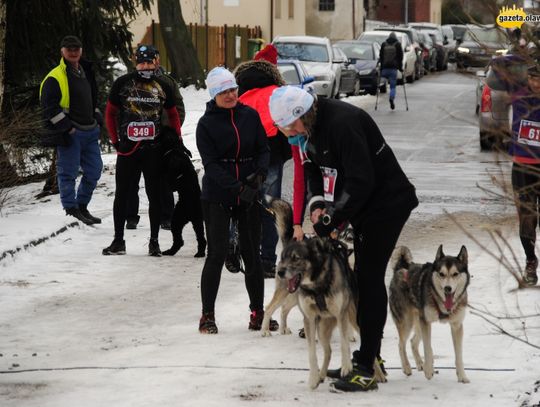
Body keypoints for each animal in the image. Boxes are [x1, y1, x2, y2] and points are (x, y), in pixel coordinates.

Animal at [390, 247, 470, 384]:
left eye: (455, 274)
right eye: (441, 274)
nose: (448, 288)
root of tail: (401, 267)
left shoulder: (457, 326)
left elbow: (459, 355)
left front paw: (462, 376)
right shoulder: (426, 322)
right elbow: (427, 348)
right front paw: (429, 370)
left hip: (418, 321)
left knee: (412, 342)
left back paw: (420, 363)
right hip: (407, 322)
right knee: (401, 344)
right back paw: (407, 367)